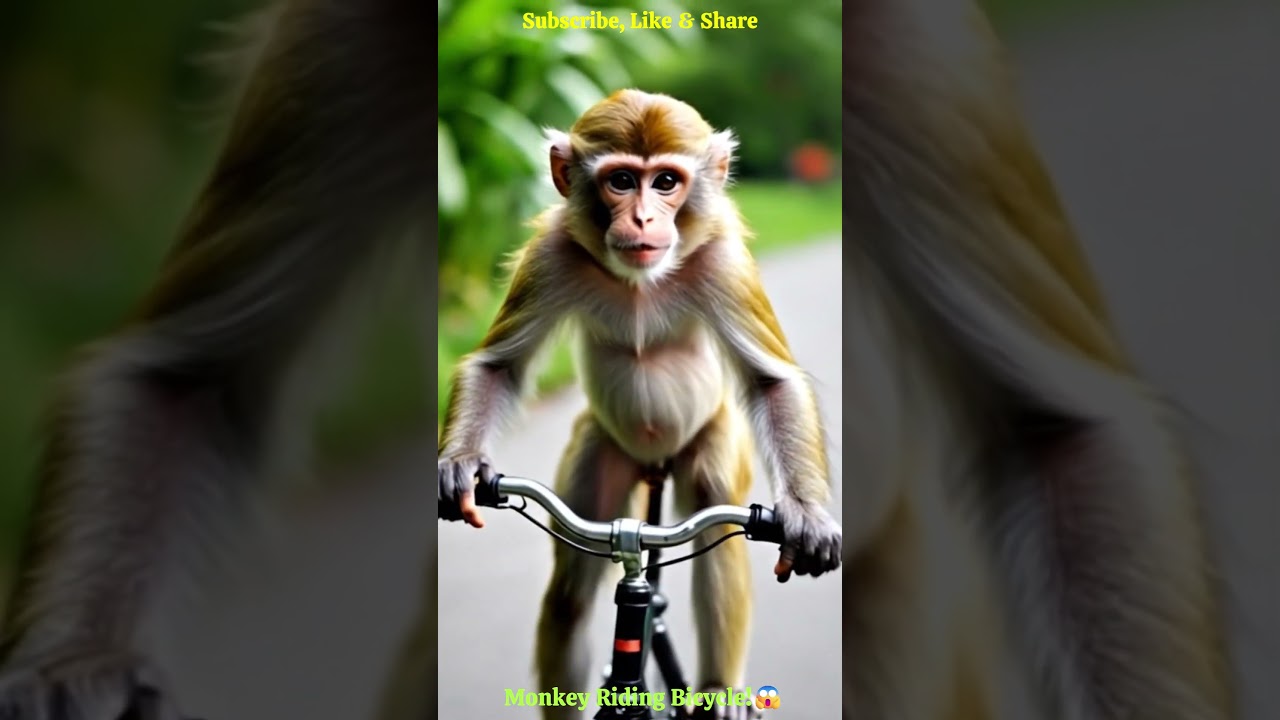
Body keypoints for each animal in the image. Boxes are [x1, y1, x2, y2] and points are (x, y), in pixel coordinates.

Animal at [436, 89, 843, 719]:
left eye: (667, 181)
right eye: (622, 180)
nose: (645, 218)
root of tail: (654, 468)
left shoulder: (724, 260)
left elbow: (772, 382)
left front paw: (807, 514)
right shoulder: (550, 253)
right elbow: (497, 366)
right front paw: (460, 466)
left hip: (712, 442)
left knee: (716, 527)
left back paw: (718, 688)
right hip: (599, 455)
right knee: (572, 590)